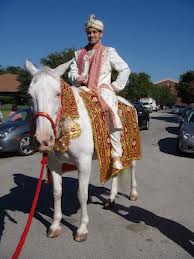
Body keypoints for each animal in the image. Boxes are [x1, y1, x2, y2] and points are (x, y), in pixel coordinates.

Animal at [25, 60, 138, 243]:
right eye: (29, 95)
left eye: (58, 94)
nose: (43, 140)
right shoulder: (54, 164)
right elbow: (57, 192)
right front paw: (55, 226)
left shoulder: (83, 163)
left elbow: (82, 194)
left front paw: (82, 229)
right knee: (115, 169)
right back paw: (110, 199)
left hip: (131, 149)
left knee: (133, 166)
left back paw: (133, 193)